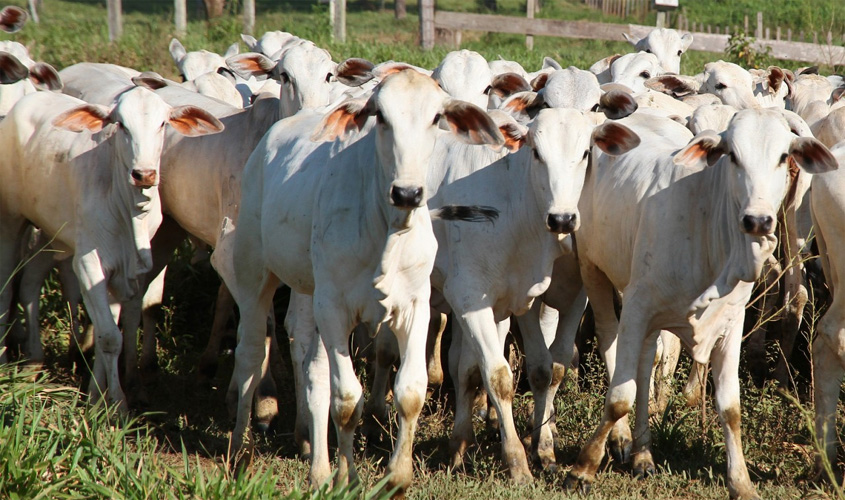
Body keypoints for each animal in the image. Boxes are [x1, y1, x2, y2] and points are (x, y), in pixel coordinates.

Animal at [0, 87, 223, 406]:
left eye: (162, 124)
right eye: (121, 125)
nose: (144, 174)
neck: (126, 209)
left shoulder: (123, 270)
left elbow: (112, 328)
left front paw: (97, 394)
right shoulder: (89, 263)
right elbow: (109, 337)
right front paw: (117, 404)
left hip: (53, 235)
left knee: (30, 281)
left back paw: (34, 360)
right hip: (11, 220)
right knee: (7, 288)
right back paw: (6, 362)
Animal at [224, 68, 502, 494]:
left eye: (436, 118)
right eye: (381, 116)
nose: (408, 192)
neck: (388, 227)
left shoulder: (415, 306)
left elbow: (409, 391)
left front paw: (396, 478)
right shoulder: (336, 309)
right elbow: (346, 400)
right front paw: (350, 478)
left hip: (312, 295)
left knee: (315, 372)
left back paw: (319, 470)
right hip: (256, 272)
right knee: (251, 357)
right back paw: (241, 451)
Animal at [564, 107, 836, 498]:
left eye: (784, 156)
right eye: (733, 156)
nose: (757, 220)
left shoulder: (730, 323)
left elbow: (730, 408)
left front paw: (741, 482)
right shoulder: (636, 307)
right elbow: (619, 397)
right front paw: (583, 468)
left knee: (646, 364)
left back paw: (644, 456)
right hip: (593, 269)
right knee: (610, 339)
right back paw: (624, 443)